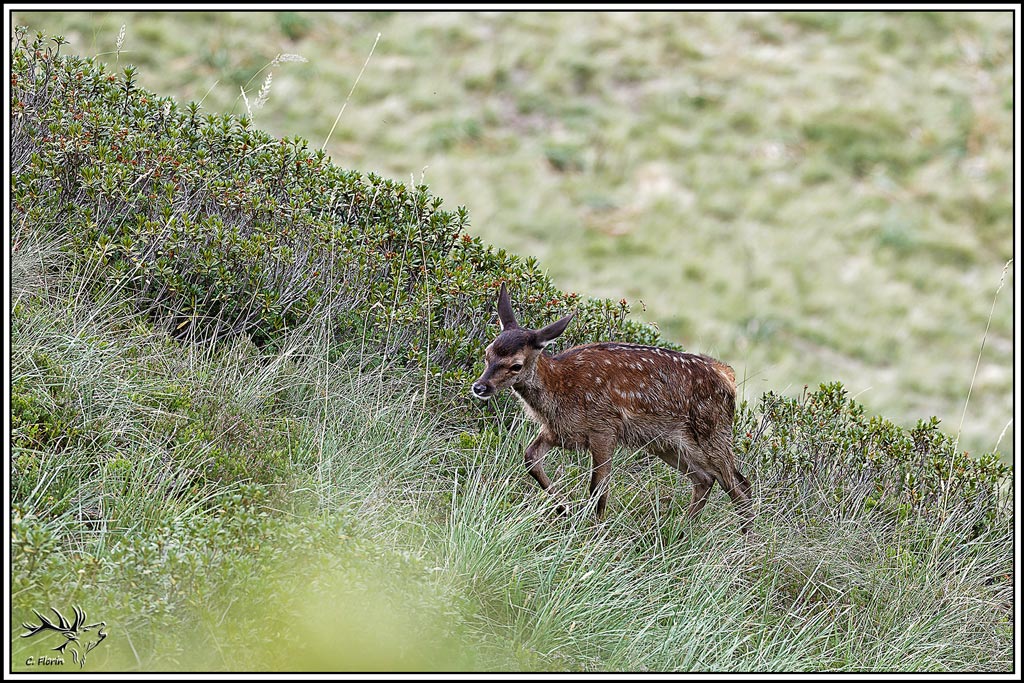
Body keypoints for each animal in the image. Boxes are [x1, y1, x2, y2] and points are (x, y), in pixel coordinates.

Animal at [471, 283, 752, 533]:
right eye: (487, 353)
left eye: (516, 365)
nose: (480, 387)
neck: (560, 391)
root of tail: (728, 377)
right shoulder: (558, 431)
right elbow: (530, 458)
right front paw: (564, 508)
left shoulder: (604, 427)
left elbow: (598, 487)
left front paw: (593, 531)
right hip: (667, 444)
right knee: (706, 479)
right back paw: (682, 531)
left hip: (713, 433)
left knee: (740, 486)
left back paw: (744, 544)